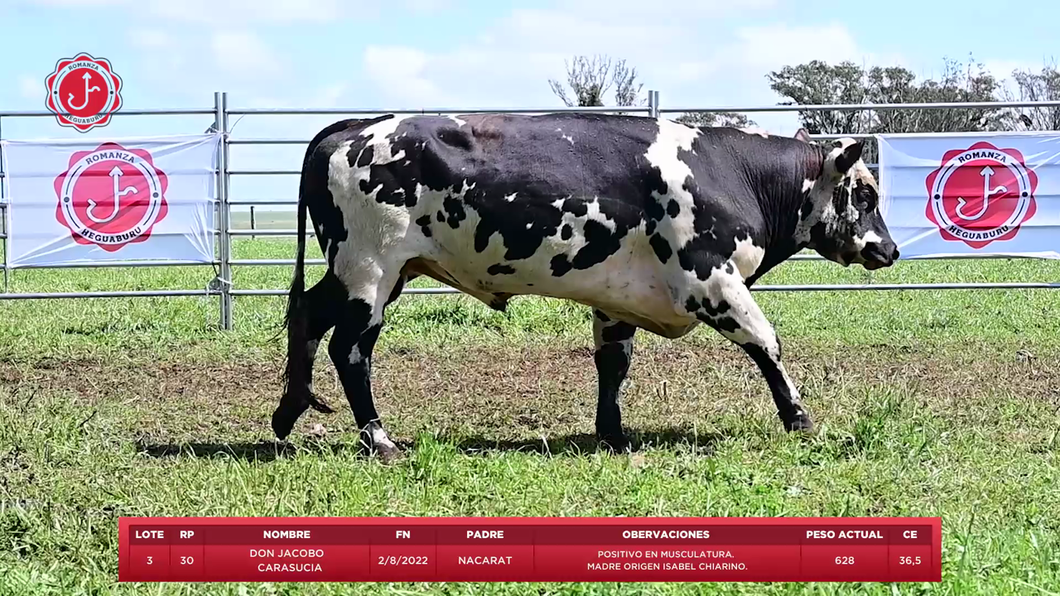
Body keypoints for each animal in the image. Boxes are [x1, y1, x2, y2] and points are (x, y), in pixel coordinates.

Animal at [271, 111, 894, 456]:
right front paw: (799, 417)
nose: (889, 250)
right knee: (350, 349)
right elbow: (767, 343)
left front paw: (613, 434)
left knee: (307, 316)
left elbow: (613, 365)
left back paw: (288, 411)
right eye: (864, 195)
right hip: (369, 274)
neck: (728, 170)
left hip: (363, 273)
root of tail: (354, 127)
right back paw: (379, 440)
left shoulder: (617, 296)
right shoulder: (710, 280)